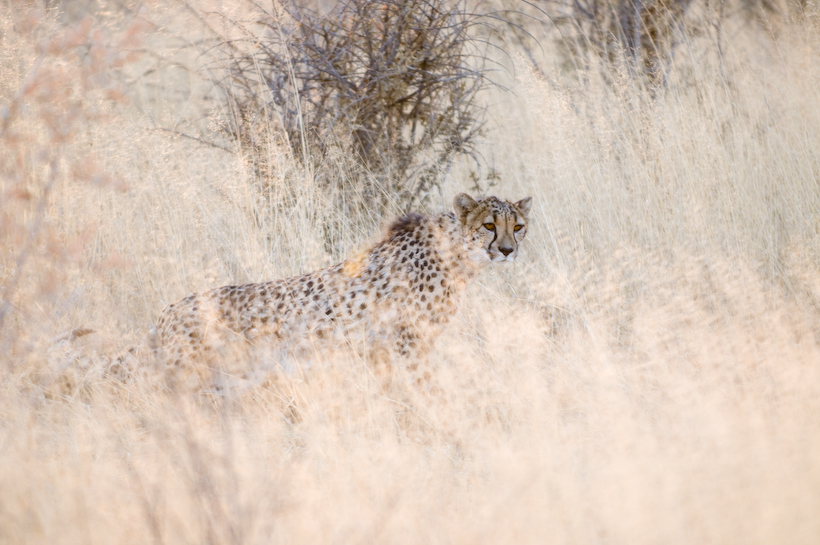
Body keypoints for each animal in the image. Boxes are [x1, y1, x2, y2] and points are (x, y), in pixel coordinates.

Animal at [152, 192, 532, 386]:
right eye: (488, 225)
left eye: (518, 226)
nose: (507, 250)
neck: (456, 253)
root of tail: (166, 311)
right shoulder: (408, 343)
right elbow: (423, 387)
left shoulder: (384, 350)